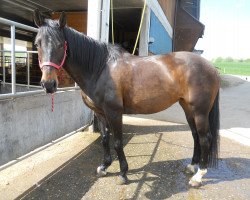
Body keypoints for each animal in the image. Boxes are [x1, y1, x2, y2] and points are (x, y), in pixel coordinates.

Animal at [34, 10, 220, 188]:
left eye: (60, 44)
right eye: (37, 43)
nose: (48, 84)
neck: (99, 69)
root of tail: (211, 67)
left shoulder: (114, 112)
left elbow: (117, 142)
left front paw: (123, 173)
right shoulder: (100, 113)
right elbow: (104, 139)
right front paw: (104, 167)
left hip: (200, 111)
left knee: (205, 138)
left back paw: (198, 176)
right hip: (187, 108)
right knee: (195, 135)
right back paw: (192, 166)